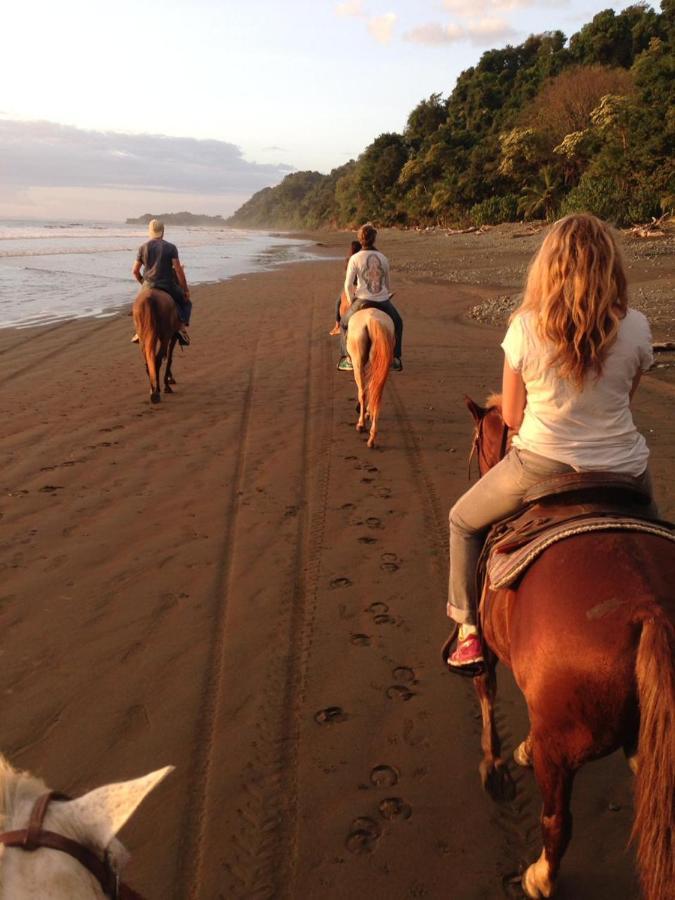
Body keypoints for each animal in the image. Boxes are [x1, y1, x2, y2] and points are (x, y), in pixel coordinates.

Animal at [346, 308, 394, 448]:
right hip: (379, 362)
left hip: (358, 361)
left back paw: (361, 424)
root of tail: (372, 320)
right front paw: (368, 412)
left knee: (363, 392)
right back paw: (372, 437)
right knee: (376, 391)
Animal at [464, 398, 675, 900]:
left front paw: (495, 765)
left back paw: (541, 877)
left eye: (477, 441)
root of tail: (650, 610)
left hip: (562, 749)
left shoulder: (489, 650)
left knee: (557, 820)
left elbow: (486, 693)